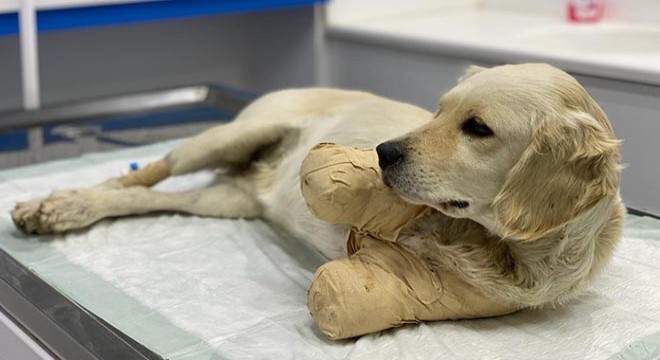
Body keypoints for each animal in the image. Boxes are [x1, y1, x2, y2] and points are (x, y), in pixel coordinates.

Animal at [10, 62, 624, 338]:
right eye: (438, 111)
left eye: (477, 128)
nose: (382, 152)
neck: (493, 245)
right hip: (225, 138)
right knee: (138, 178)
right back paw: (56, 204)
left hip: (226, 198)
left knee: (147, 199)